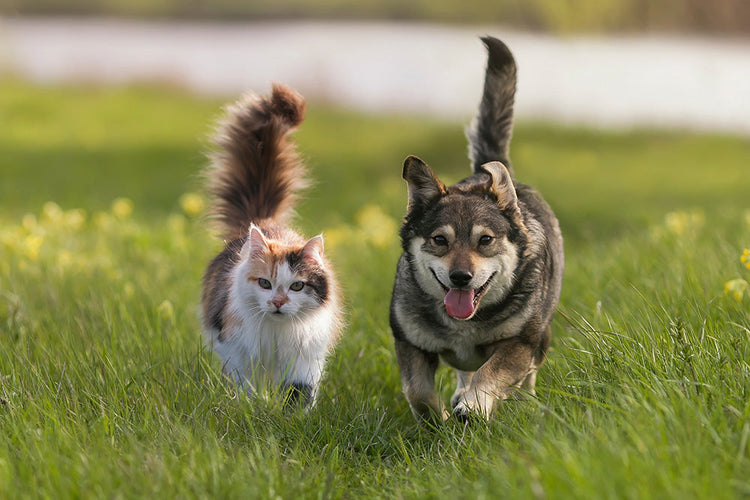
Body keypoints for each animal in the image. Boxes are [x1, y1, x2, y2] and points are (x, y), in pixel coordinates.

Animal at [198, 84, 342, 408]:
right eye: (264, 283)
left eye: (297, 286)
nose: (277, 302)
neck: (277, 334)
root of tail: (263, 221)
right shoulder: (235, 349)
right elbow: (245, 386)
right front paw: (250, 408)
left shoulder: (306, 358)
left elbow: (300, 391)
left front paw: (293, 416)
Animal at [394, 36, 564, 422]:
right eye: (439, 240)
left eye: (485, 240)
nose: (461, 277)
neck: (464, 324)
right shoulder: (410, 342)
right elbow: (418, 391)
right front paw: (437, 419)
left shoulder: (521, 342)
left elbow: (494, 371)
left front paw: (474, 405)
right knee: (463, 371)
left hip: (542, 336)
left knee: (526, 376)